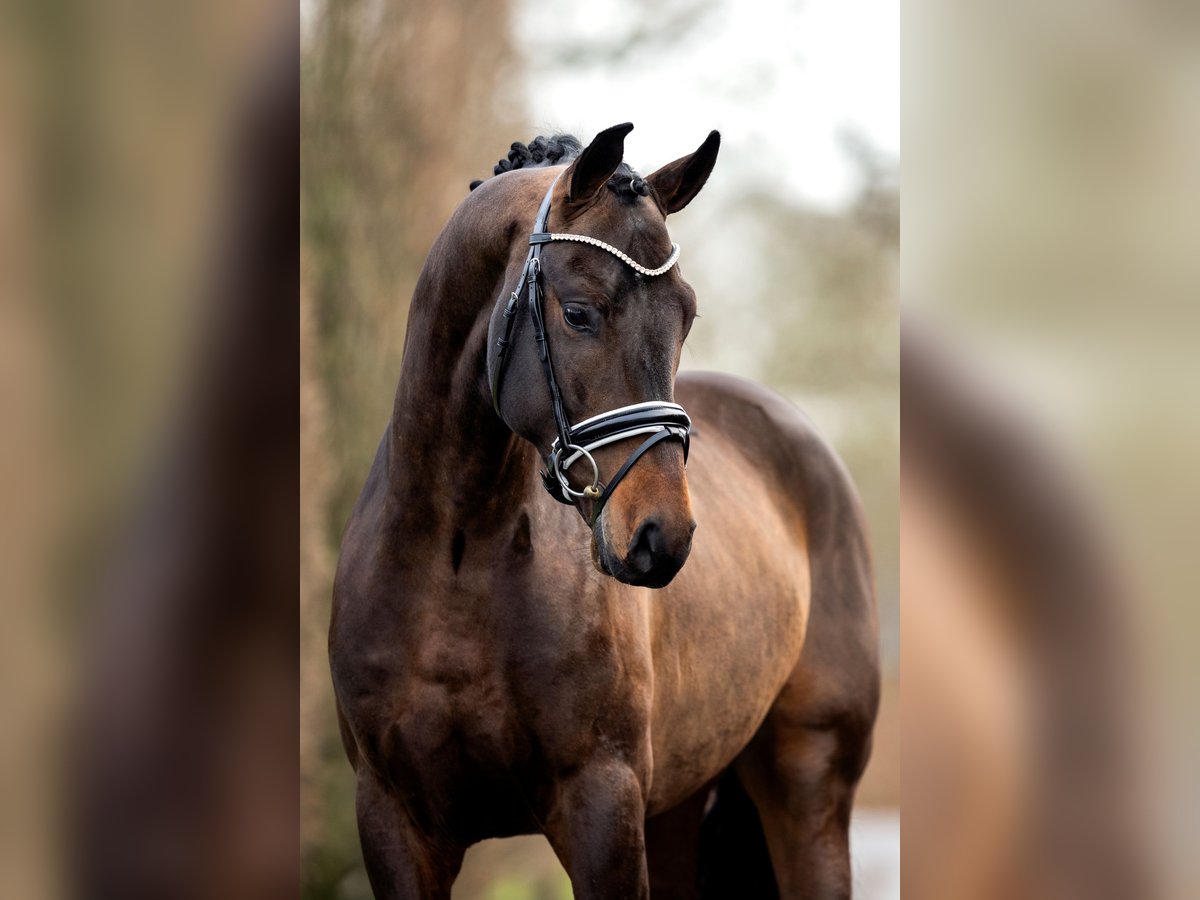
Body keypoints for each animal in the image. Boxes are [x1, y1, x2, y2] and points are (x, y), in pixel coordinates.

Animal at [329, 123, 880, 899]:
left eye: (686, 314)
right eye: (579, 312)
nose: (662, 537)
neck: (457, 555)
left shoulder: (600, 807)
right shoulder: (394, 821)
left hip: (809, 791)